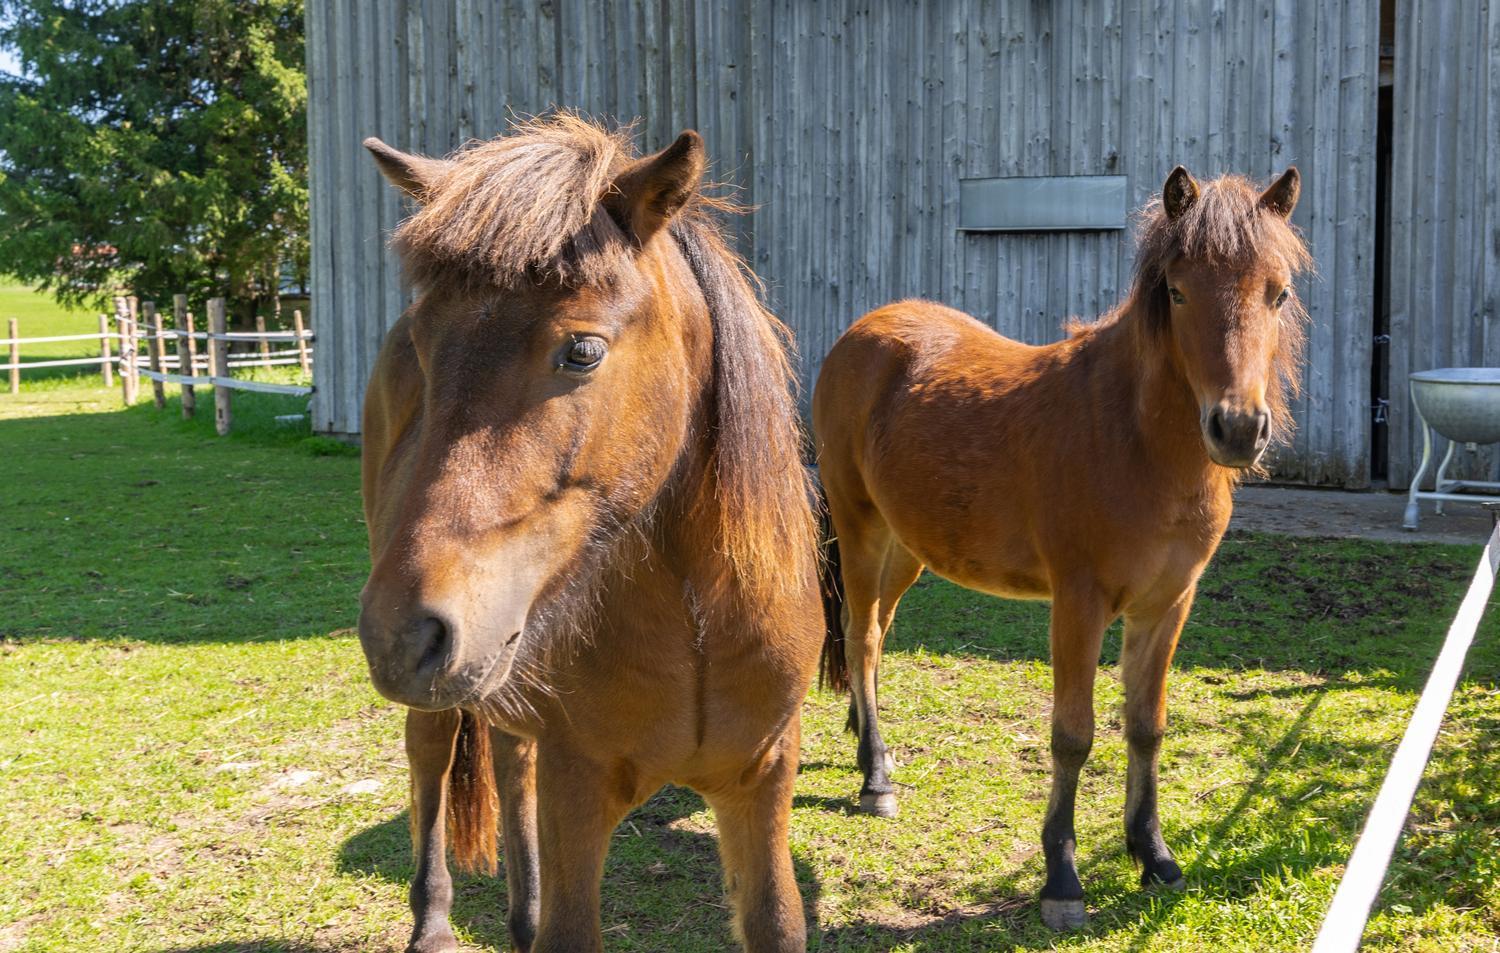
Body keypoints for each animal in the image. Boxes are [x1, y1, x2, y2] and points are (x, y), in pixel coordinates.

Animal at [355, 119, 822, 953]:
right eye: (424, 347)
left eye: (582, 350)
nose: (401, 632)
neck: (699, 625)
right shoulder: (578, 784)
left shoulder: (763, 778)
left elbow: (776, 918)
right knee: (430, 757)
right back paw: (434, 922)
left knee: (510, 757)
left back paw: (520, 914)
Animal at [816, 168, 1308, 930]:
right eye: (1177, 290)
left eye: (1277, 292)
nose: (1236, 428)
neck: (1134, 440)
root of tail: (861, 335)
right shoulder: (1079, 603)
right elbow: (1073, 734)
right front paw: (1063, 879)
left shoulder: (1168, 604)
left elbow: (1146, 725)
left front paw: (1153, 854)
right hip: (860, 527)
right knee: (862, 636)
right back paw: (876, 778)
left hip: (907, 548)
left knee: (871, 635)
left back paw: (864, 741)